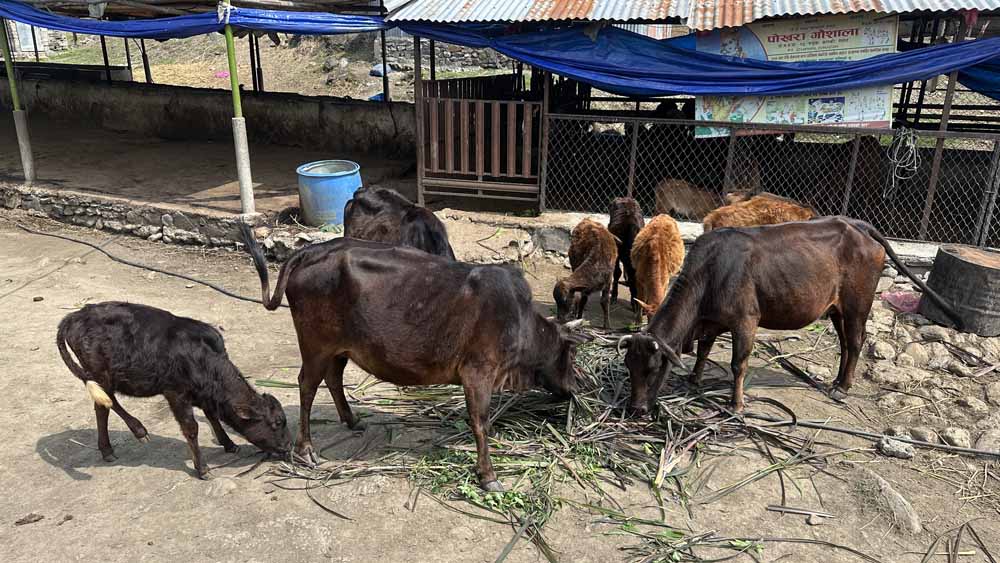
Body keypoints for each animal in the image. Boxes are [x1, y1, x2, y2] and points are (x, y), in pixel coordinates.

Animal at [56, 302, 291, 478]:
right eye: (276, 423)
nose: (288, 447)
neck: (203, 360)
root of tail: (77, 314)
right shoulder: (175, 394)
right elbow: (192, 428)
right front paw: (202, 468)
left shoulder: (204, 395)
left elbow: (212, 416)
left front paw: (229, 444)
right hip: (100, 374)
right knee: (106, 404)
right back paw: (135, 432)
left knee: (103, 406)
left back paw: (108, 449)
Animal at [239, 224, 590, 492]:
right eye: (570, 353)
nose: (574, 388)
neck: (520, 320)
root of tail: (311, 251)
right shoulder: (479, 372)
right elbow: (480, 423)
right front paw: (488, 476)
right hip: (316, 345)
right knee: (307, 386)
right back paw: (306, 450)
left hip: (340, 348)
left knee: (333, 378)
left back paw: (352, 420)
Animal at [618, 217, 963, 415]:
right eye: (629, 367)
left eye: (652, 369)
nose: (636, 408)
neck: (711, 270)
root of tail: (859, 225)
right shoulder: (713, 321)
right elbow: (703, 350)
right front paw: (694, 378)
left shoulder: (745, 320)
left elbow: (738, 364)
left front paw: (736, 404)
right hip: (836, 308)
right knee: (845, 343)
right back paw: (836, 380)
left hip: (858, 304)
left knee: (856, 340)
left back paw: (843, 387)